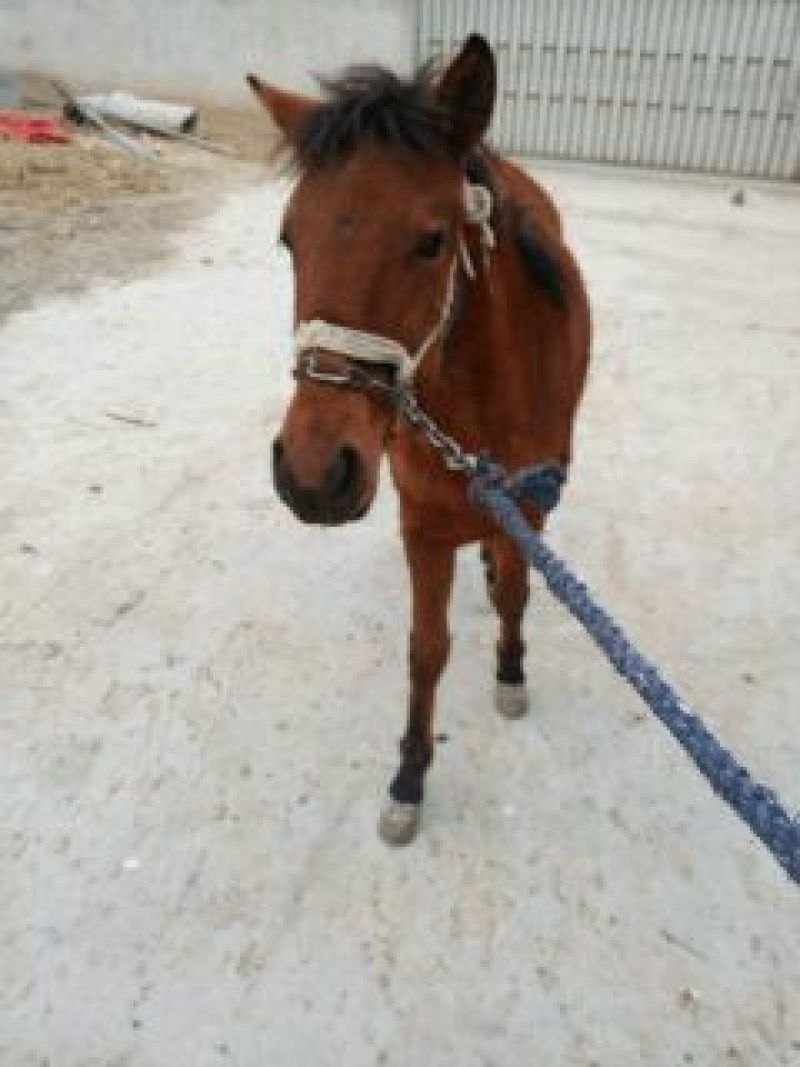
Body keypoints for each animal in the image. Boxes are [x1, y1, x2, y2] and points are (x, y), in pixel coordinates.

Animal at [248, 34, 591, 845]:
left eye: (432, 242)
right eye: (288, 238)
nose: (312, 475)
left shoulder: (530, 507)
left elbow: (518, 594)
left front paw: (511, 672)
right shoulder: (425, 525)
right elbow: (426, 650)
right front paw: (409, 776)